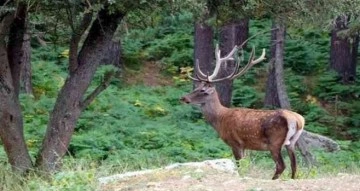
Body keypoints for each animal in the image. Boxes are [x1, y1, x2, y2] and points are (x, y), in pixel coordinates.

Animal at [180, 44, 304, 180]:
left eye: (202, 90)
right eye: (197, 87)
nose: (183, 98)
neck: (220, 119)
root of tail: (298, 120)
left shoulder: (235, 142)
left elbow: (239, 166)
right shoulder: (244, 146)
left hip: (275, 142)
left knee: (281, 166)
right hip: (291, 143)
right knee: (294, 165)